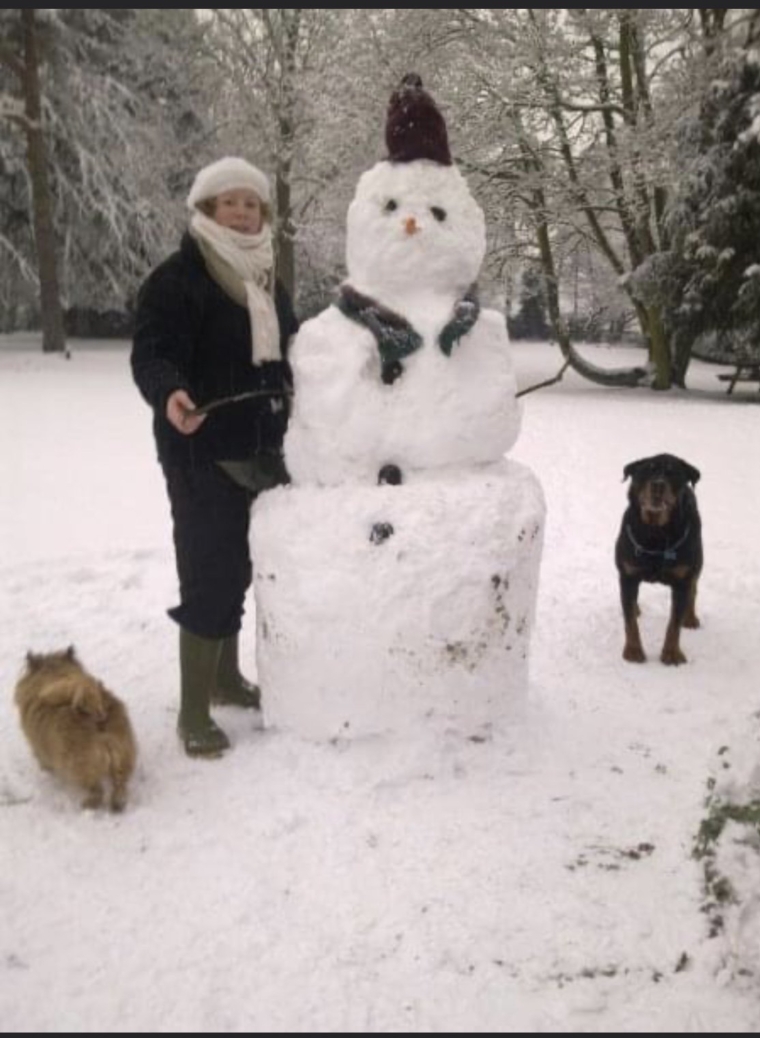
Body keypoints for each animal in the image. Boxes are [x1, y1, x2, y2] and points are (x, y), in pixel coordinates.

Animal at [14, 647, 137, 809]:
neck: (54, 673)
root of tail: (97, 717)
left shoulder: (38, 748)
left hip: (80, 766)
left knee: (96, 790)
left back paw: (88, 804)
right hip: (123, 756)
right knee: (120, 784)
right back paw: (118, 803)